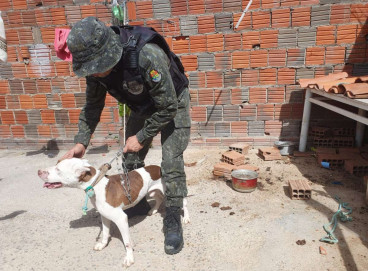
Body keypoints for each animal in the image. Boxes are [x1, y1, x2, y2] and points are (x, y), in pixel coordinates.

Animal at [37, 158, 190, 268]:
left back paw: (186, 218)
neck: (96, 185)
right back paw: (153, 210)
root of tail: (159, 168)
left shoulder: (121, 218)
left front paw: (129, 258)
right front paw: (102, 244)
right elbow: (105, 233)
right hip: (151, 191)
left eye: (58, 169)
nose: (39, 171)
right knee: (158, 198)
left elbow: (127, 242)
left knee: (183, 201)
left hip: (170, 189)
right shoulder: (105, 216)